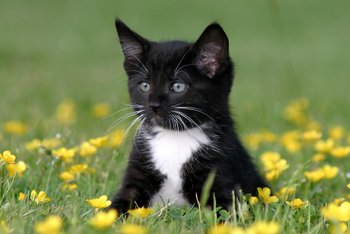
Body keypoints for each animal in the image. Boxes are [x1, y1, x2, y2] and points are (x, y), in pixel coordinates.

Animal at [110, 19, 266, 214]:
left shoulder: (220, 174)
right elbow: (116, 205)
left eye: (178, 86)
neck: (175, 138)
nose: (154, 105)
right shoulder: (137, 168)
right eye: (144, 86)